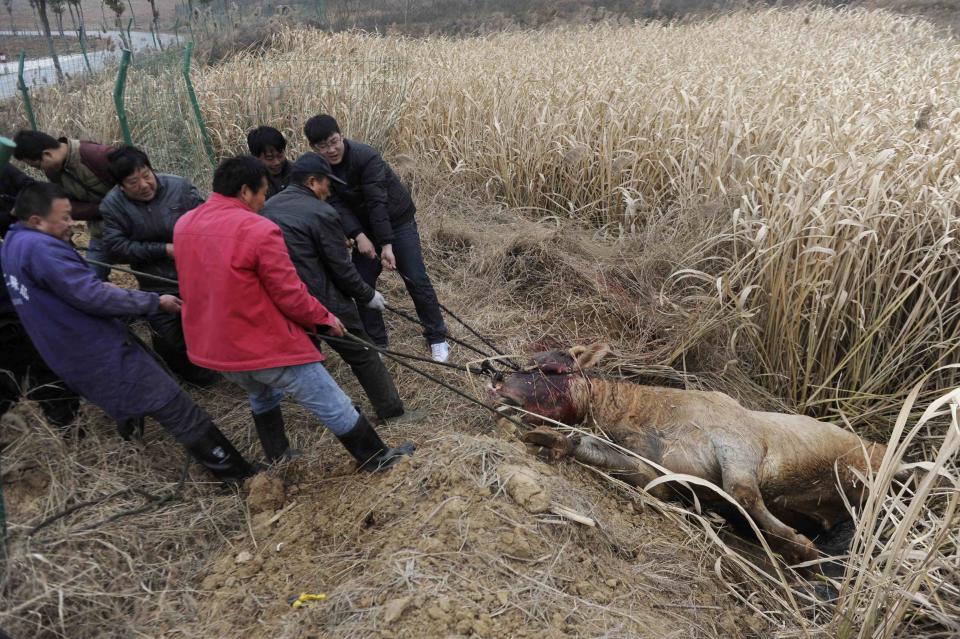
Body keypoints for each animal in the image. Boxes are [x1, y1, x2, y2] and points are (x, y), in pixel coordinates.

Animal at [492, 344, 888, 564]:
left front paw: (798, 545)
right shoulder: (657, 475)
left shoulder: (736, 439)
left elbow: (742, 492)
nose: (496, 383)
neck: (644, 413)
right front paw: (550, 439)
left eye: (549, 368)